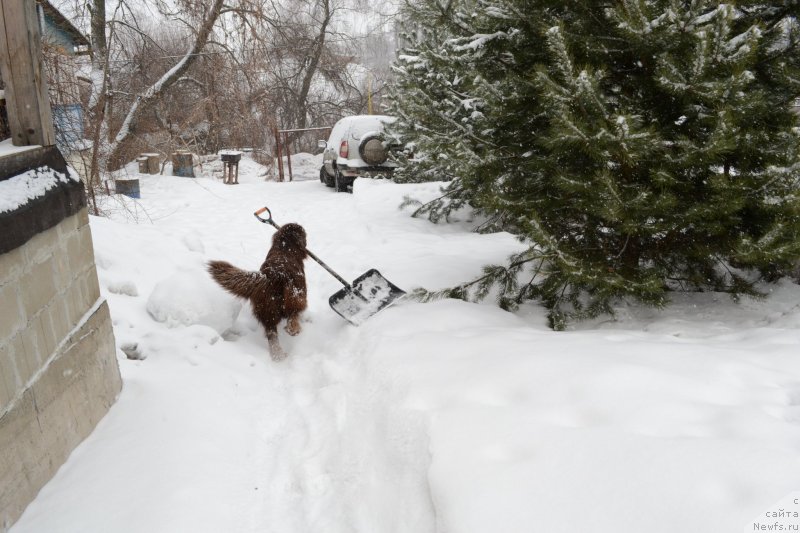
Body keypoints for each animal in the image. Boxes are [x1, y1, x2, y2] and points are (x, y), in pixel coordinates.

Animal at [208, 222, 308, 360]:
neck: (285, 248)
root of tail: (275, 276)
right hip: (295, 297)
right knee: (293, 316)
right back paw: (293, 330)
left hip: (266, 309)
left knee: (272, 334)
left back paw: (277, 354)